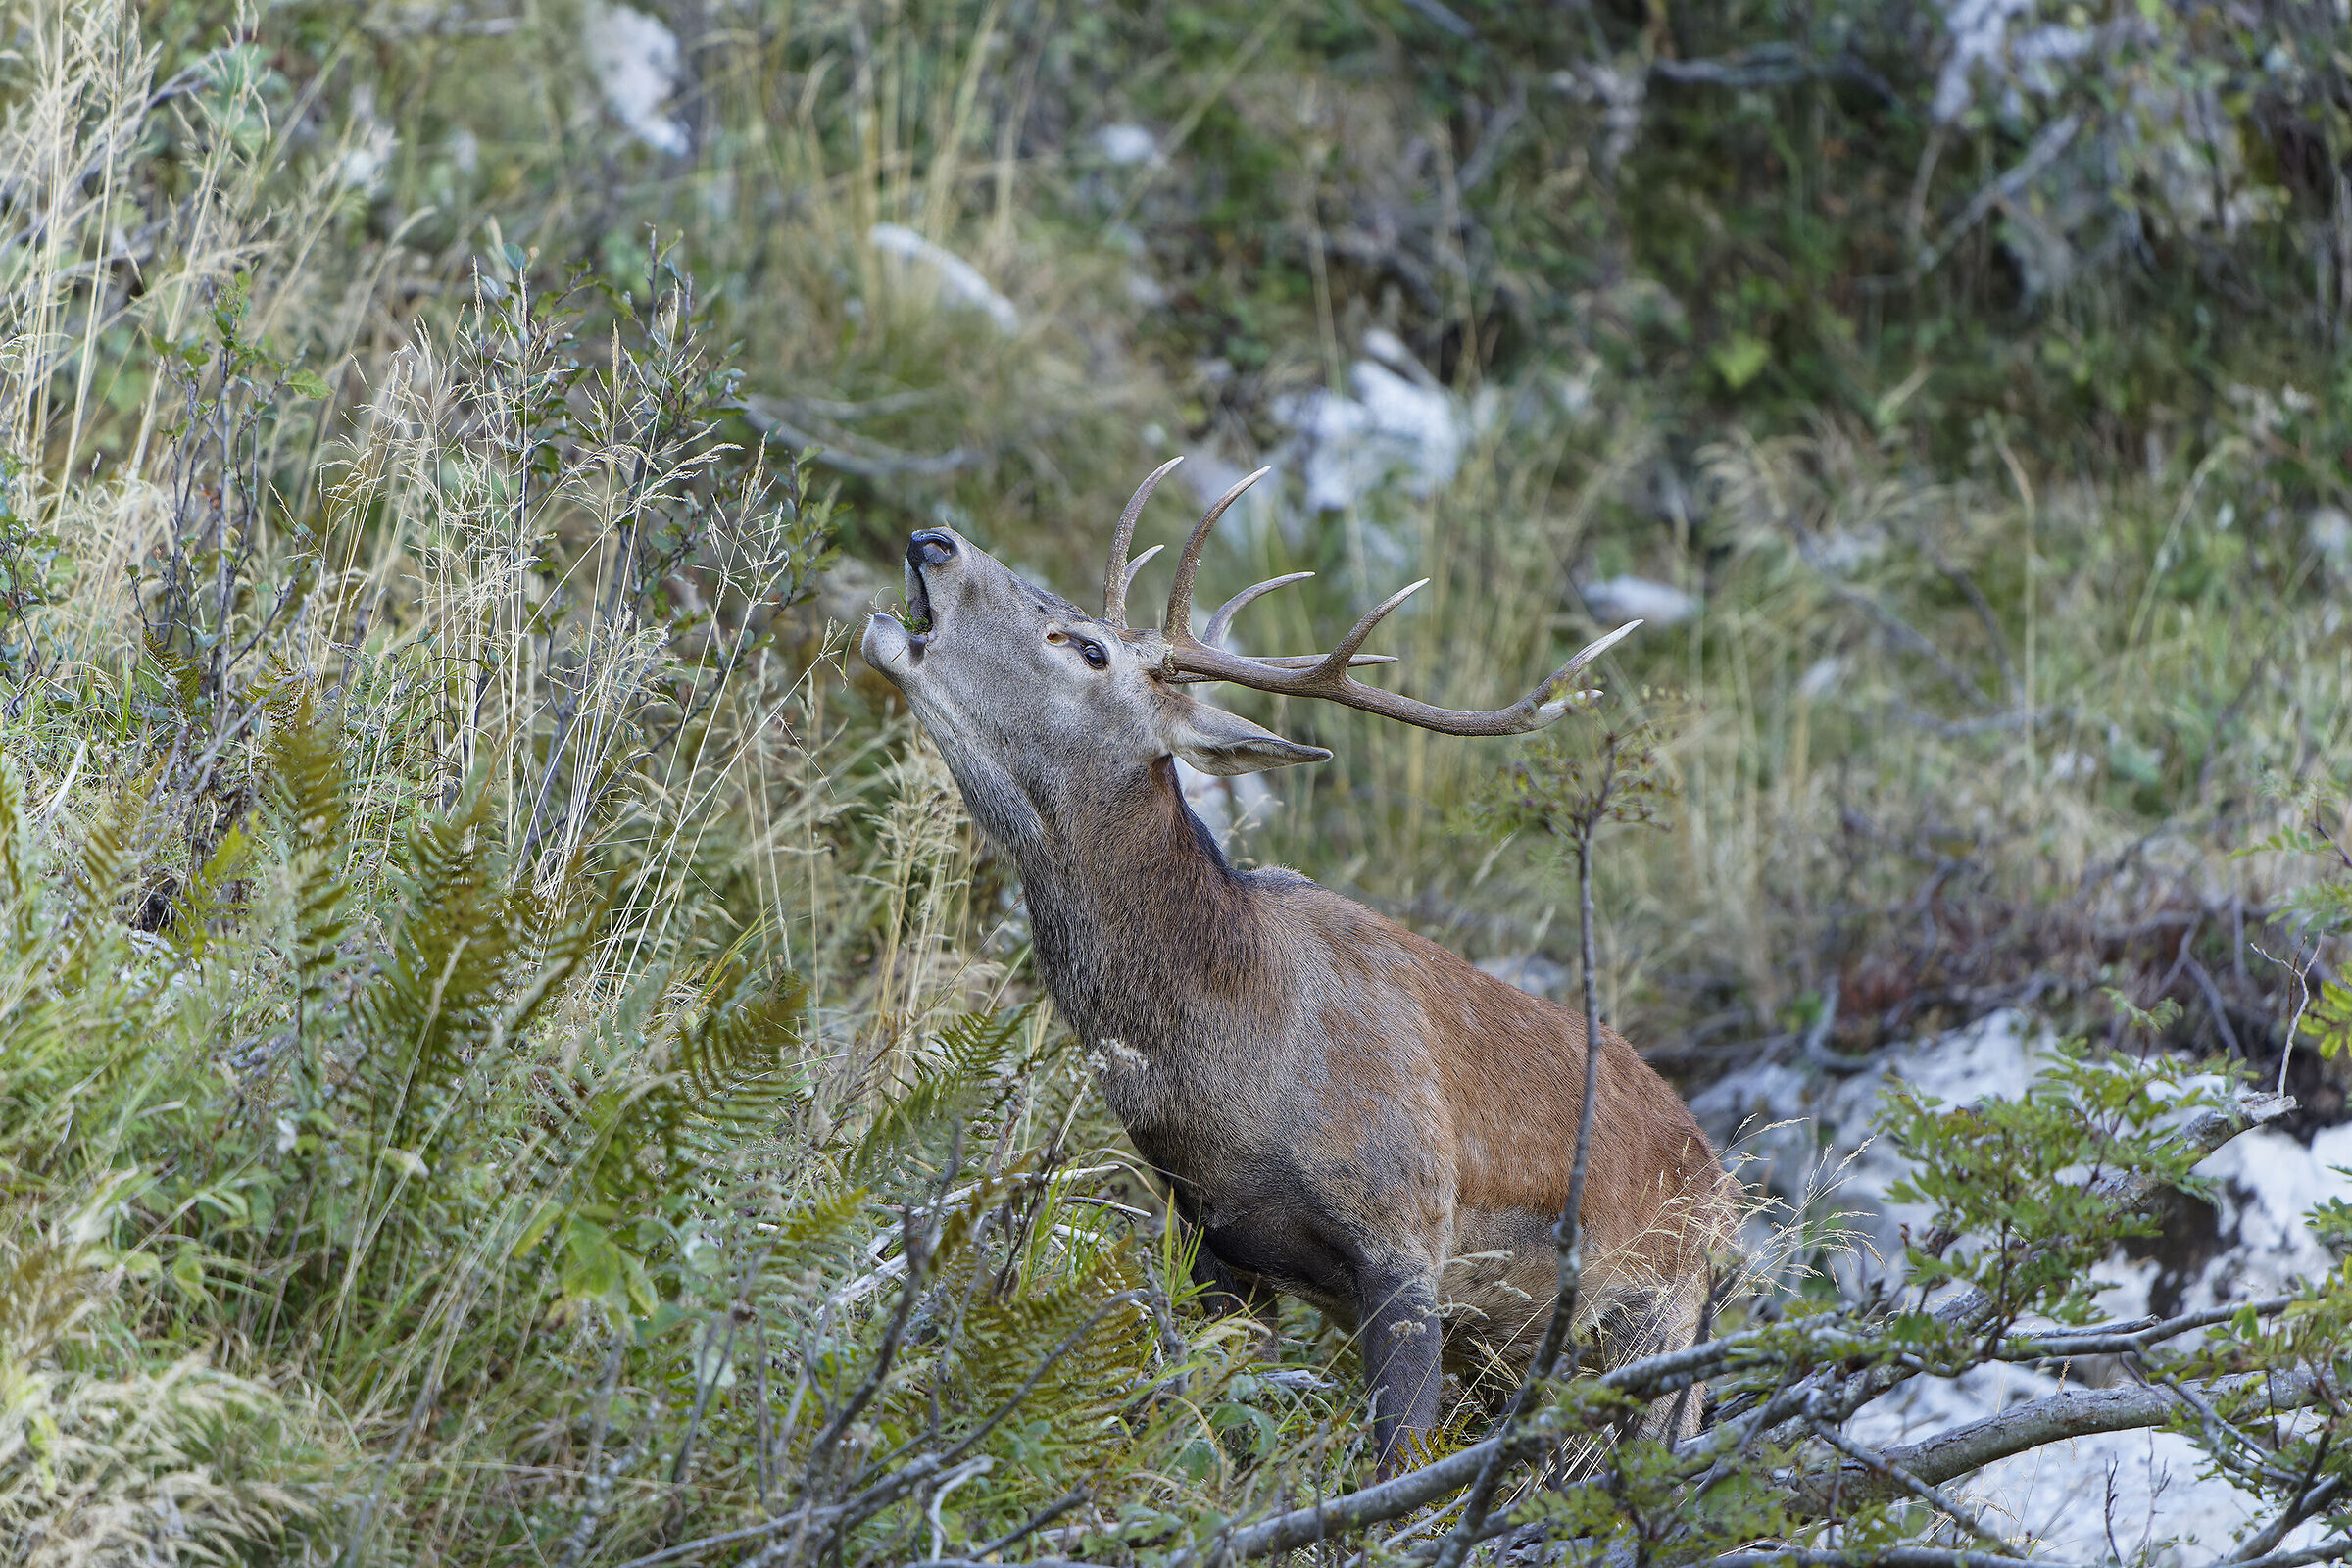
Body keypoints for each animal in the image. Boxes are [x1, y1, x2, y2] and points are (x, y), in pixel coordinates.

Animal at [858, 457, 1736, 1474]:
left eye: (1087, 649)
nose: (935, 542)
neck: (1236, 1072)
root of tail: (1727, 1196)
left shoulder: (1407, 1231)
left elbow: (1398, 1462)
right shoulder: (1211, 1247)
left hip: (1661, 1325)